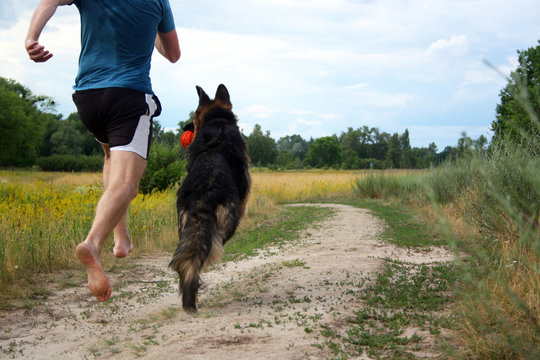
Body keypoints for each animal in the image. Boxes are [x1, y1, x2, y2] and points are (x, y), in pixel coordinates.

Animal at [170, 84, 250, 312]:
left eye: (195, 116)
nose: (186, 127)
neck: (217, 121)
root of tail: (205, 192)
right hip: (227, 223)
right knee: (209, 251)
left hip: (183, 223)